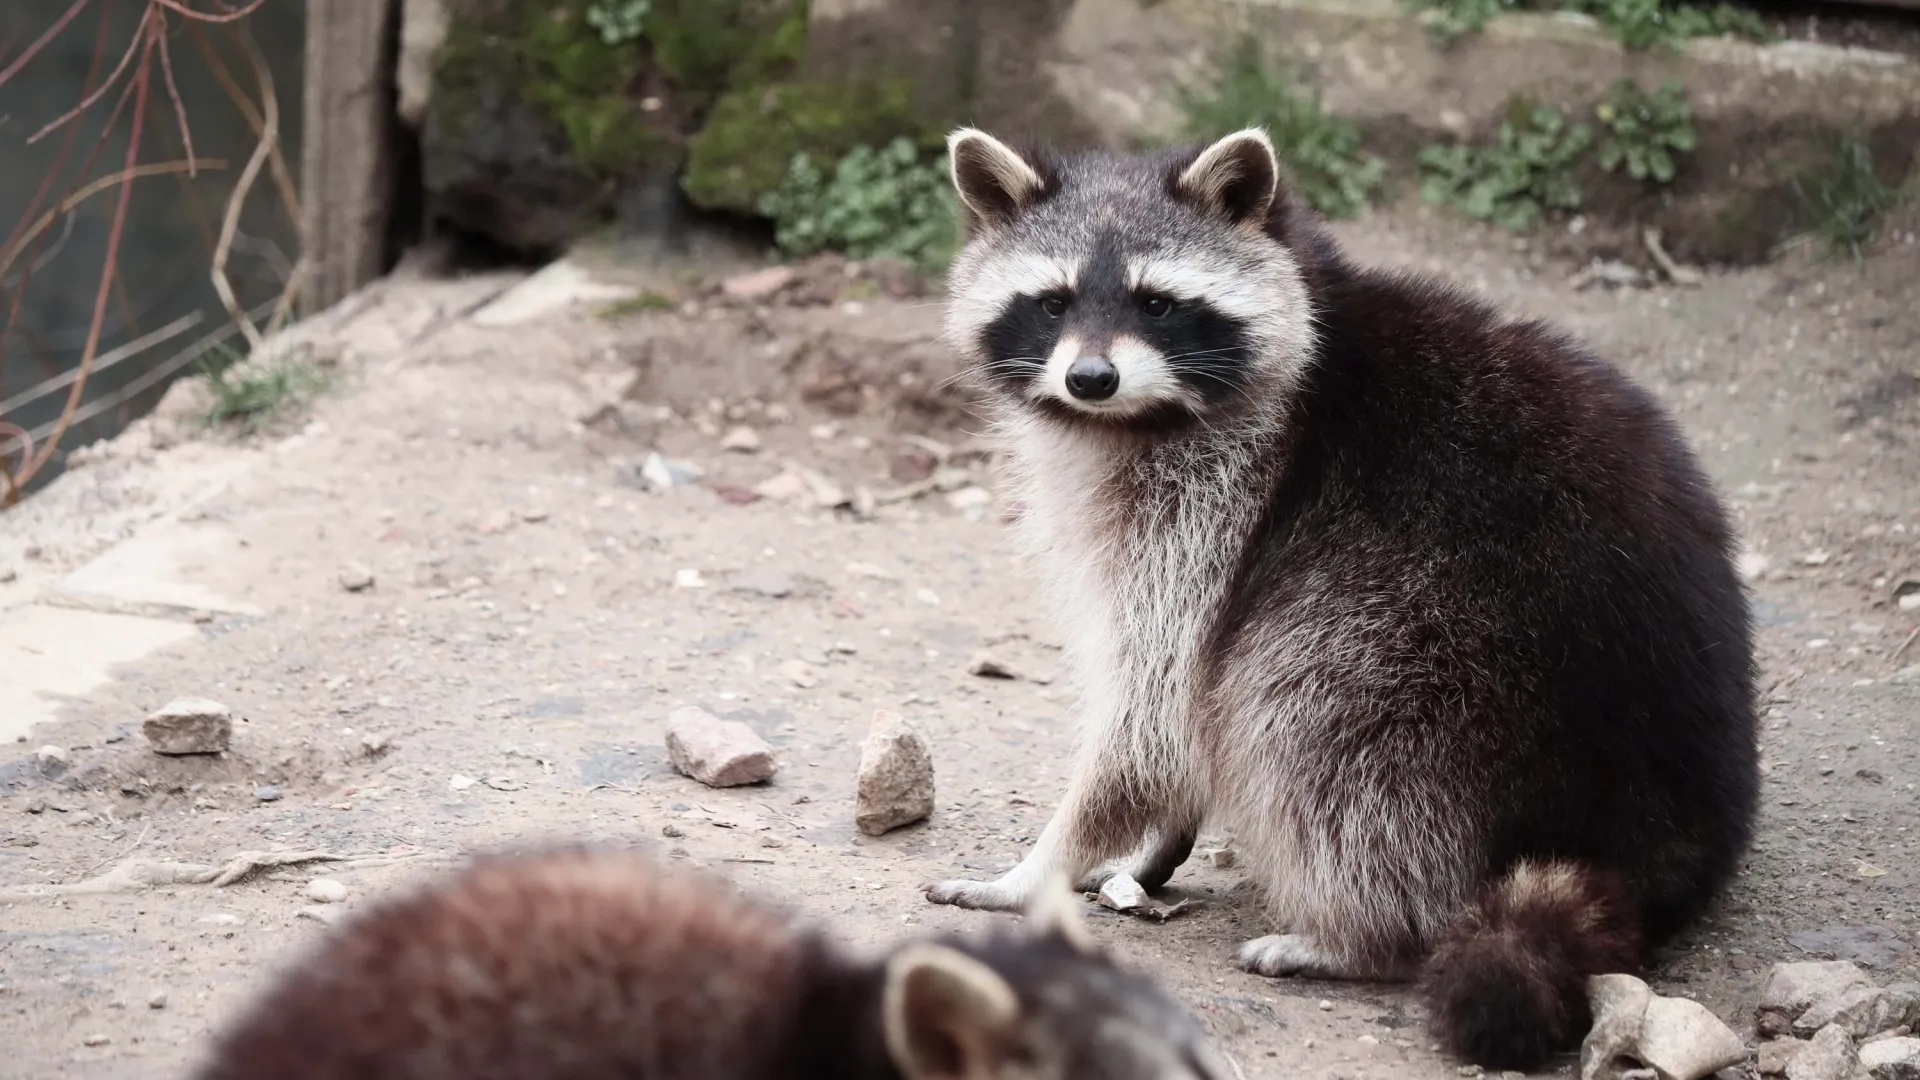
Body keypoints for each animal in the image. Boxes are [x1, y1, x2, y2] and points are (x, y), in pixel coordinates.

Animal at [923, 127, 1759, 1072]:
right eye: (1054, 301)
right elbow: (1177, 723)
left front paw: (1039, 868)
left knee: (1311, 714)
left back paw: (1365, 936)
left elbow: (1156, 713)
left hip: (1435, 642)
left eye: (1158, 304)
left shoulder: (1219, 505)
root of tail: (1653, 833)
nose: (1091, 378)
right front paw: (1150, 843)